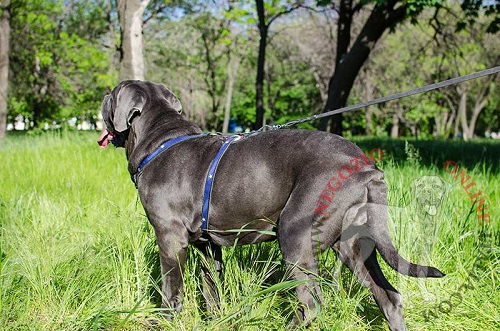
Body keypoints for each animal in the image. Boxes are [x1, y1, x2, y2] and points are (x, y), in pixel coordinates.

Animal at [97, 81, 446, 331]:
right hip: (354, 243)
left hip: (295, 233)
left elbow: (171, 290)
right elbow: (212, 290)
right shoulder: (208, 247)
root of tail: (365, 166)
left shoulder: (170, 238)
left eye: (112, 94)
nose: (102, 96)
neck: (161, 138)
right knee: (389, 296)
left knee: (311, 303)